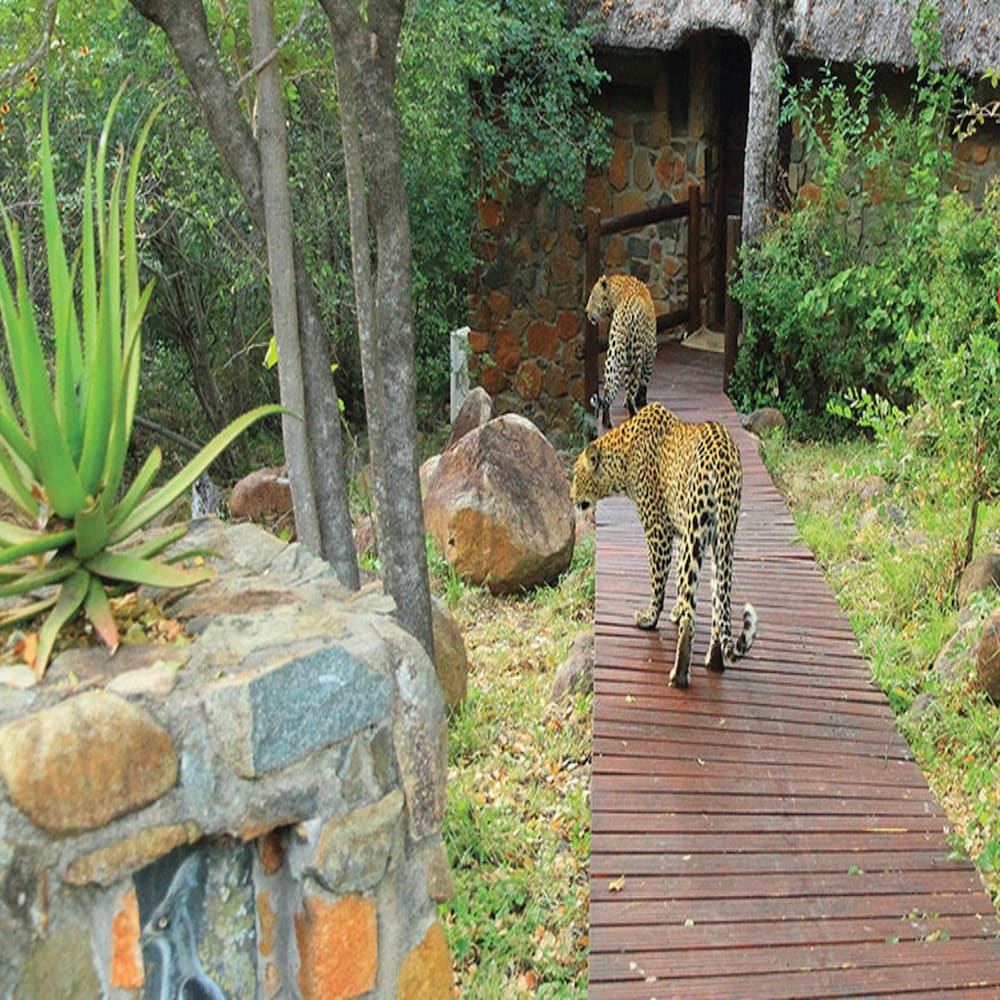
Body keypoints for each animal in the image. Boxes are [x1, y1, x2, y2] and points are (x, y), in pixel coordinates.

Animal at [571, 401, 757, 689]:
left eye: (576, 476)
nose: (570, 498)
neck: (622, 461)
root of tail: (723, 459)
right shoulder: (681, 531)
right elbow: (679, 579)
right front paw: (675, 609)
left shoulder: (658, 530)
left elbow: (658, 581)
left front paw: (650, 617)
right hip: (721, 536)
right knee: (718, 599)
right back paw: (713, 660)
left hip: (698, 528)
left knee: (693, 614)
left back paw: (679, 674)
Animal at [586, 273, 658, 430]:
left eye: (593, 296)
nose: (586, 312)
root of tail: (625, 314)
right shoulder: (650, 354)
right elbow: (643, 383)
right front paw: (642, 402)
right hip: (635, 357)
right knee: (631, 391)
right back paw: (634, 414)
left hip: (613, 354)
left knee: (608, 389)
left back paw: (606, 422)